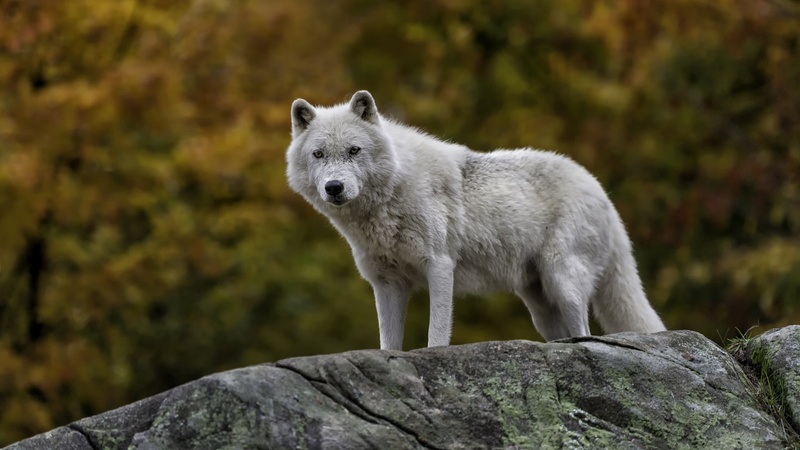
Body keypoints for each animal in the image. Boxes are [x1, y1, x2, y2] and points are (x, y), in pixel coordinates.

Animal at [286, 90, 666, 350]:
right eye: (318, 154)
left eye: (354, 151)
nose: (334, 187)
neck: (390, 197)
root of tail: (601, 191)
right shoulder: (387, 283)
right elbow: (388, 343)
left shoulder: (440, 267)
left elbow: (437, 334)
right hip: (540, 305)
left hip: (563, 282)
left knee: (584, 332)